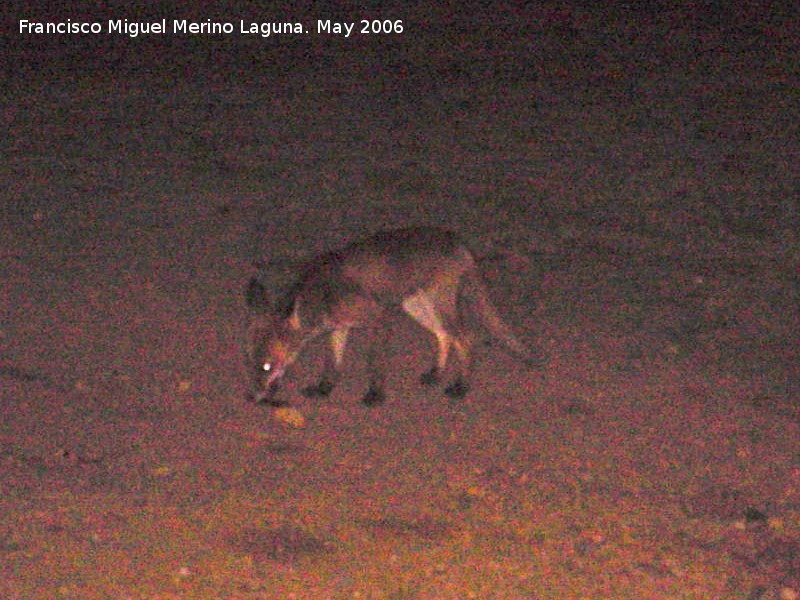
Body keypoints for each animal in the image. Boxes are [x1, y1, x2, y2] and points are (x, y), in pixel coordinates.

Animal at [245, 227, 544, 406]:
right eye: (250, 364)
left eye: (267, 367)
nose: (252, 397)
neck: (321, 293)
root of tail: (457, 241)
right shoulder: (338, 327)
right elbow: (331, 363)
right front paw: (324, 388)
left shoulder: (377, 317)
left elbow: (374, 362)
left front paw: (375, 394)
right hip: (416, 306)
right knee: (444, 336)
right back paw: (436, 373)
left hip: (438, 306)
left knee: (467, 338)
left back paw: (460, 386)